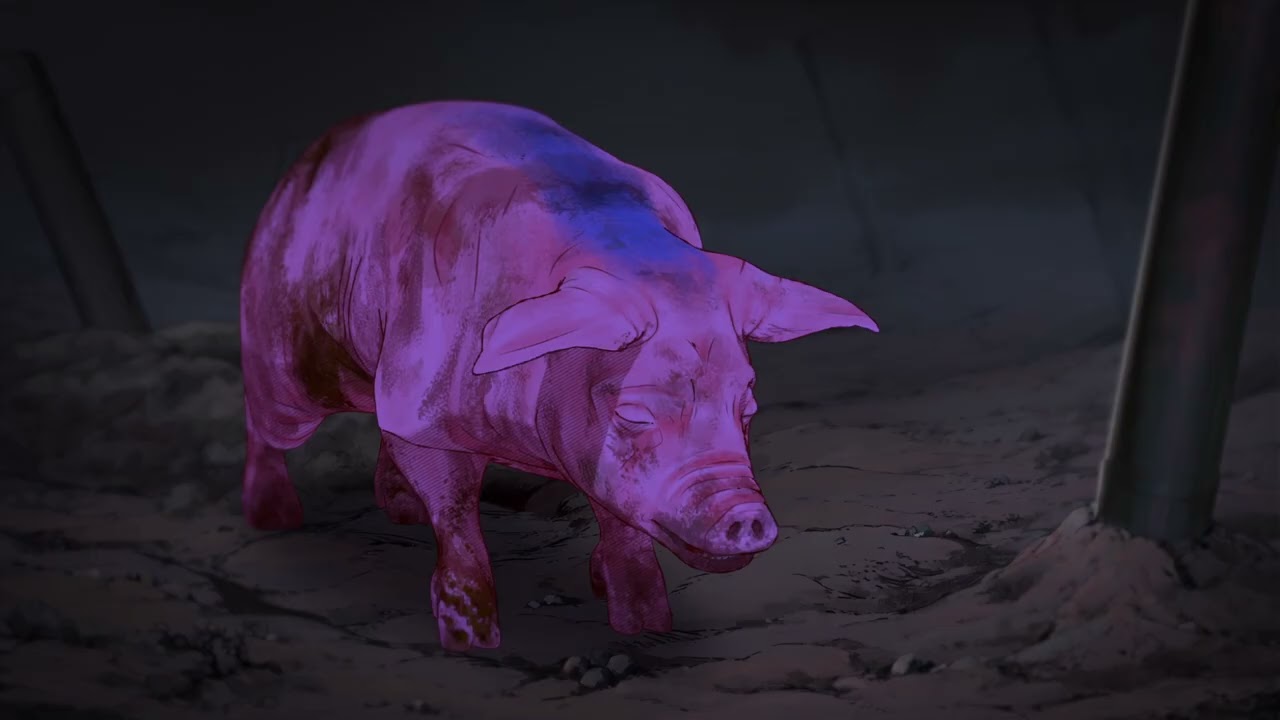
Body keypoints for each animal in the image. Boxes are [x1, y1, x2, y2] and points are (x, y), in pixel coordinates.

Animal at [239, 101, 878, 652]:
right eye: (633, 413)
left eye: (748, 407)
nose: (745, 515)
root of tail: (308, 159)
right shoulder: (423, 400)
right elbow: (455, 515)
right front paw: (472, 643)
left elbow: (622, 528)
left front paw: (647, 627)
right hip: (282, 338)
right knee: (267, 426)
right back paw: (273, 520)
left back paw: (399, 513)